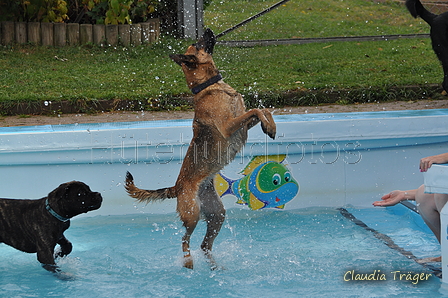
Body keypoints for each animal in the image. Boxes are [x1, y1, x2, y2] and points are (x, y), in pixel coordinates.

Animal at [126, 28, 276, 270]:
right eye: (198, 44)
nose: (207, 30)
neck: (209, 86)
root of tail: (176, 187)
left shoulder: (242, 123)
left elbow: (261, 110)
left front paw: (270, 126)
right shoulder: (228, 126)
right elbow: (255, 109)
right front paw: (268, 125)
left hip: (217, 214)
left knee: (204, 245)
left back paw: (215, 268)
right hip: (192, 214)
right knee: (184, 239)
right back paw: (188, 263)